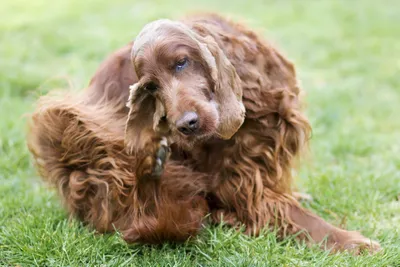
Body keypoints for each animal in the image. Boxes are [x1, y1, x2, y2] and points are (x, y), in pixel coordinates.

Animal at [27, 13, 378, 255]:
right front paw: (351, 242)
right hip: (69, 123)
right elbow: (289, 214)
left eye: (182, 62)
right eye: (151, 87)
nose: (185, 125)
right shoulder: (235, 179)